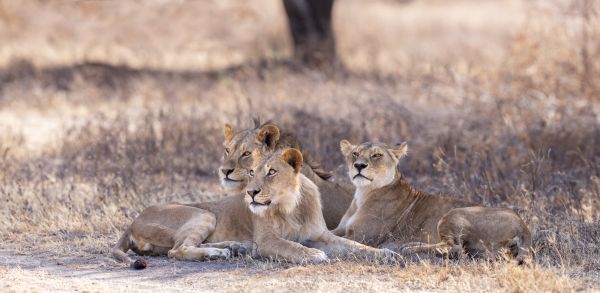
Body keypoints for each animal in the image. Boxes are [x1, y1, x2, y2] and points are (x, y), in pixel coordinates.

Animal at [112, 148, 394, 266]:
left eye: (271, 172)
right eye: (251, 172)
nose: (250, 193)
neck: (289, 206)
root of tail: (132, 221)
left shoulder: (321, 235)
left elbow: (355, 245)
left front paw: (387, 254)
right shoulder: (269, 240)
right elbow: (292, 246)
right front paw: (314, 255)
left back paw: (234, 248)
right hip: (203, 213)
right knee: (177, 250)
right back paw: (218, 253)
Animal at [330, 140, 532, 262]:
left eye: (376, 155)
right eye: (355, 153)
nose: (359, 165)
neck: (363, 193)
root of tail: (523, 226)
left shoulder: (362, 236)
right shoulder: (342, 229)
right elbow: (330, 232)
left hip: (453, 214)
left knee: (454, 248)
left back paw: (409, 248)